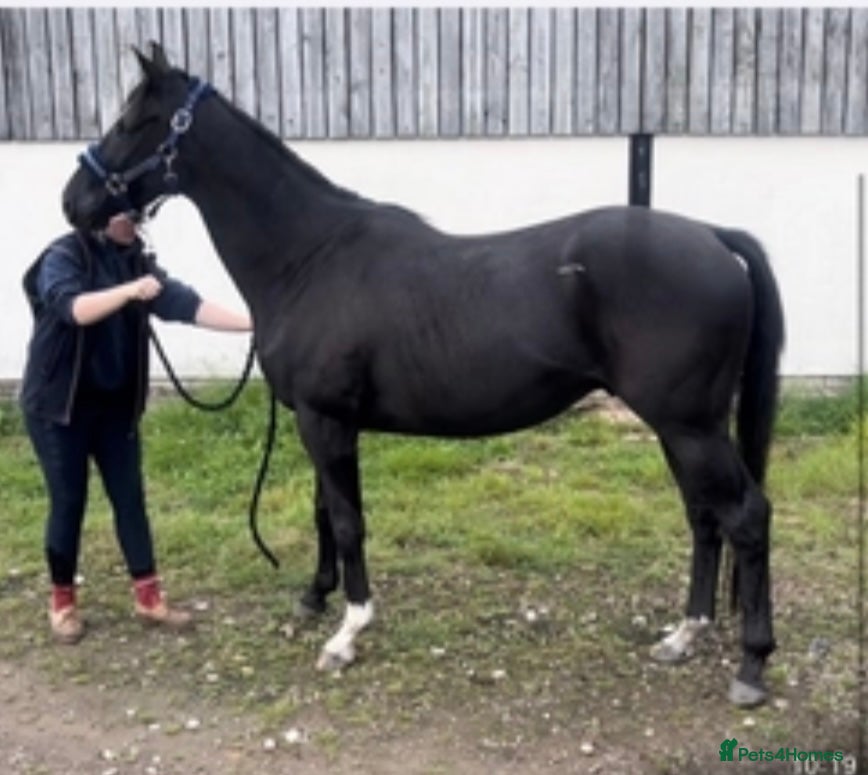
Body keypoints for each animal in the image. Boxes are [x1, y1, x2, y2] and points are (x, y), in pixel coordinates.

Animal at [61, 43, 784, 707]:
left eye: (132, 120)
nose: (73, 201)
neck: (309, 256)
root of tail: (714, 236)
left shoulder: (326, 420)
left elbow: (348, 521)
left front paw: (347, 633)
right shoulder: (323, 420)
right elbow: (325, 512)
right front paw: (314, 598)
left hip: (689, 426)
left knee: (746, 516)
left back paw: (751, 664)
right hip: (681, 428)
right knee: (705, 518)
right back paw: (684, 634)